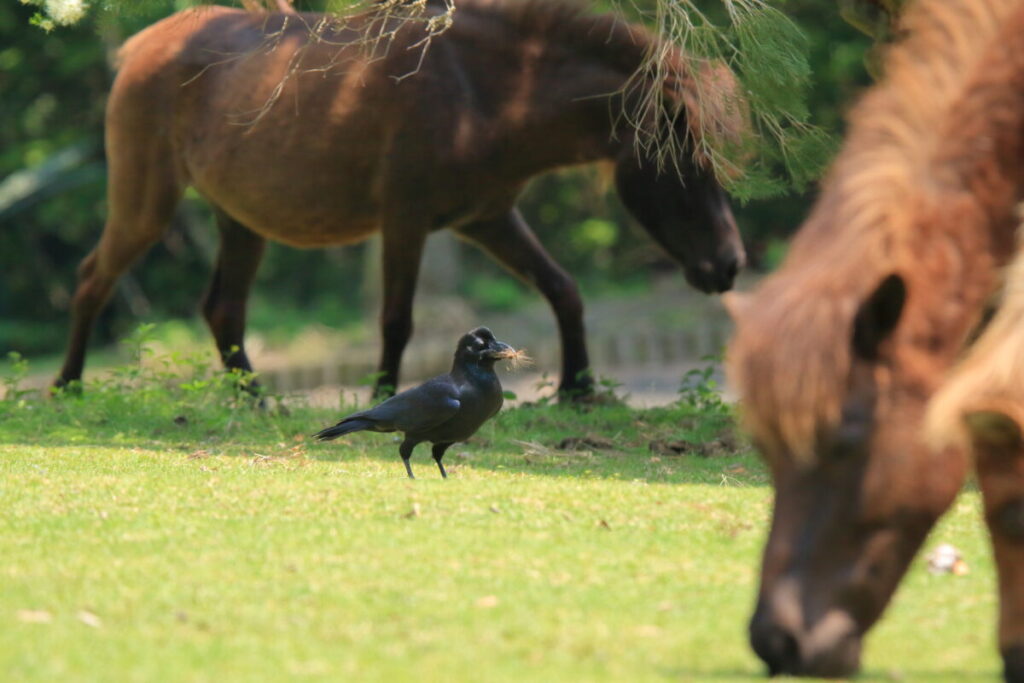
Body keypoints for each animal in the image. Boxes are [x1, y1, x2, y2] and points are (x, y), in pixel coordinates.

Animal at [55, 0, 747, 398]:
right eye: (685, 167)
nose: (730, 264)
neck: (477, 88)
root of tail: (144, 45)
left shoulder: (489, 219)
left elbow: (563, 288)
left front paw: (578, 389)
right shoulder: (406, 222)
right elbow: (396, 320)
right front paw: (383, 397)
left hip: (241, 221)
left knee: (224, 310)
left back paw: (257, 402)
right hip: (146, 202)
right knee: (91, 279)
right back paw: (68, 385)